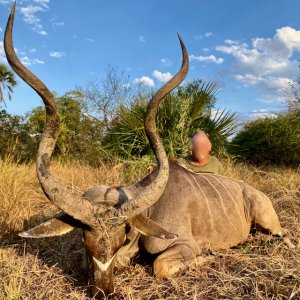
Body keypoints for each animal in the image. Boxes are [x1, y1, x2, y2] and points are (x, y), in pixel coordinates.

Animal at [4, 1, 294, 298]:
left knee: (283, 235)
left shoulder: (182, 244)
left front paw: (208, 256)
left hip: (270, 223)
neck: (153, 209)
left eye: (121, 240)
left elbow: (160, 266)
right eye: (85, 243)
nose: (103, 291)